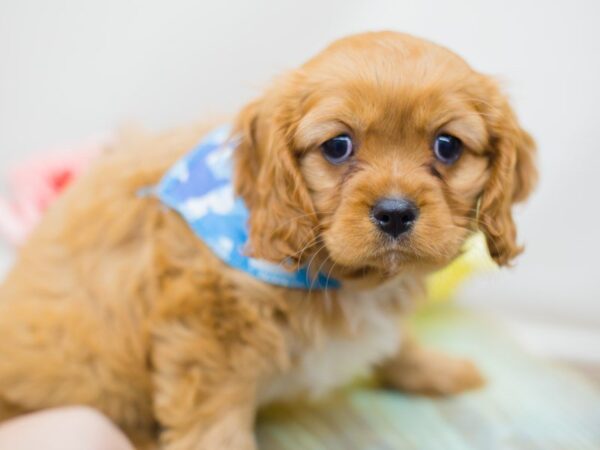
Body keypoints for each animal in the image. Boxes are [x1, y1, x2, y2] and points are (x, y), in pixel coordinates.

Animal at [0, 32, 536, 450]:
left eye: (447, 146)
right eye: (338, 146)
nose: (395, 213)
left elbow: (397, 339)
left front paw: (432, 368)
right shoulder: (208, 339)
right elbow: (216, 430)